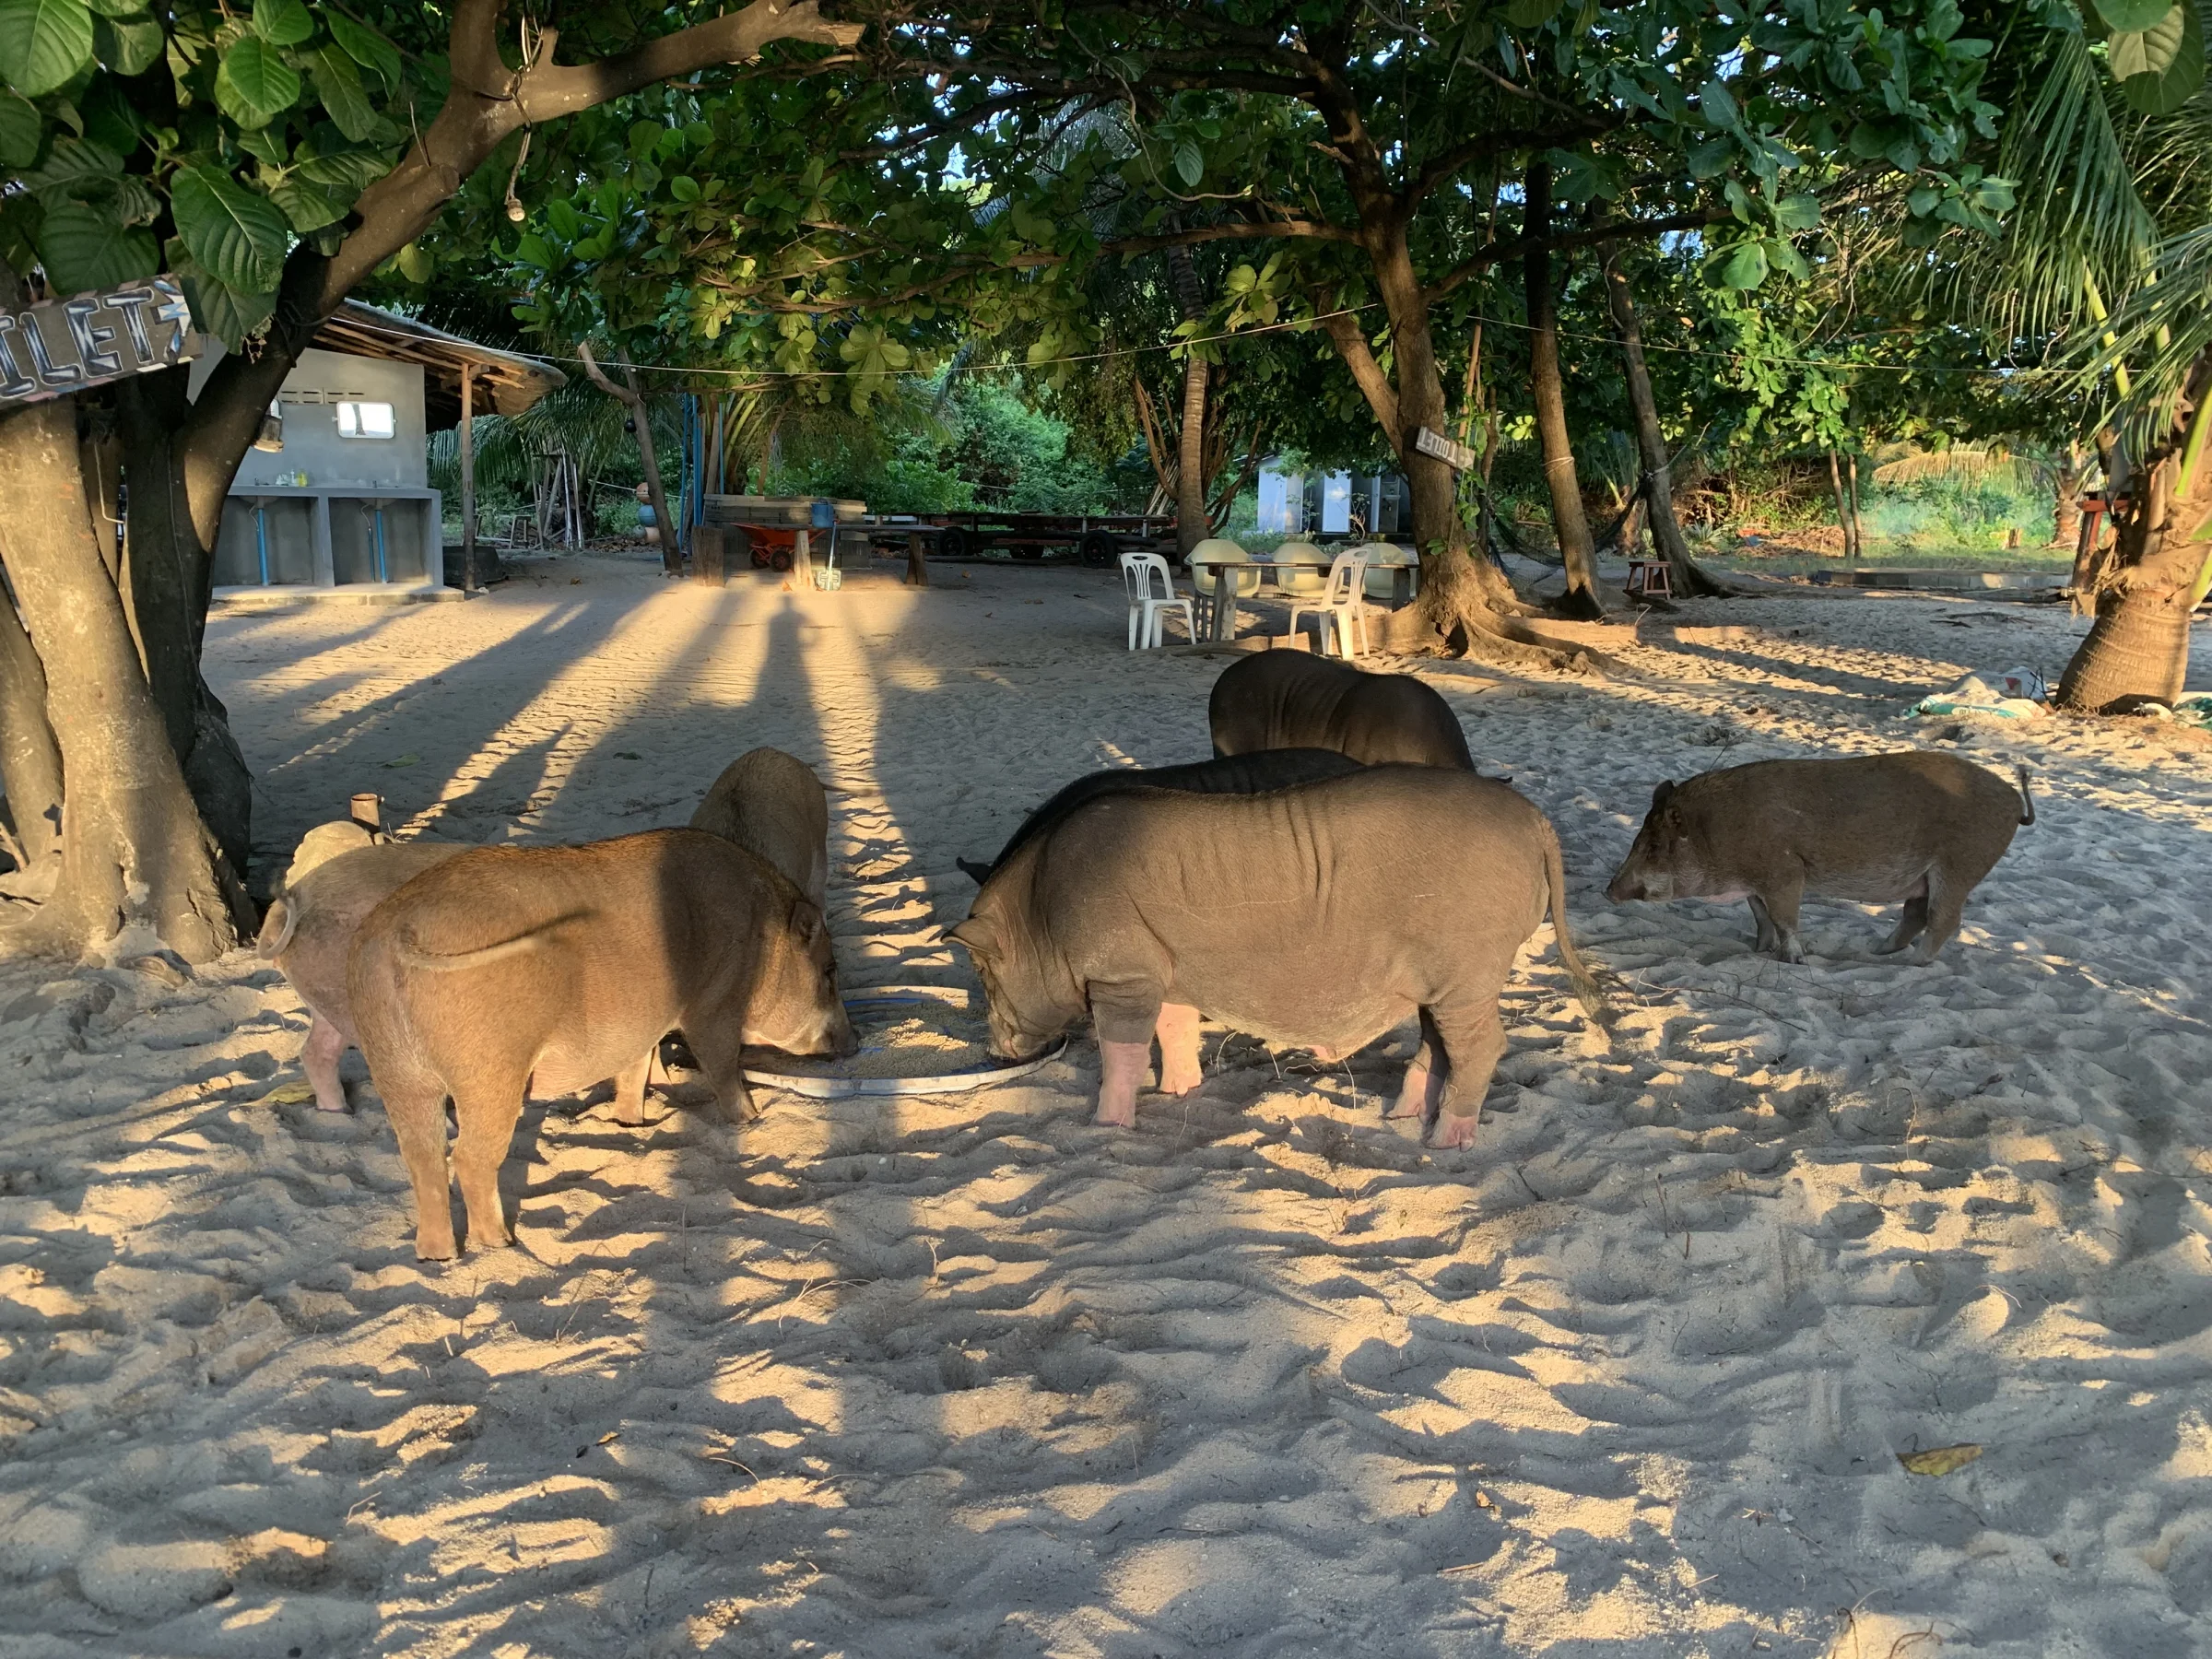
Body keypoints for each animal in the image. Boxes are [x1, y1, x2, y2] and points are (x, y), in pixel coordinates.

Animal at [348, 829, 854, 1258]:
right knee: (469, 1160)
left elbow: (634, 1070)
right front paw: (751, 1119)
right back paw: (503, 1246)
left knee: (423, 1159)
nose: (855, 1040)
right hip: (489, 1072)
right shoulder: (714, 1007)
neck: (765, 942)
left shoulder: (641, 1029)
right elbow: (722, 1067)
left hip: (396, 1070)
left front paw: (631, 1125)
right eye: (829, 971)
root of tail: (399, 933)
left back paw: (438, 1257)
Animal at [946, 766, 1608, 1148]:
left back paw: (1447, 1140)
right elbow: (1175, 1029)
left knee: (1482, 1045)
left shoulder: (1121, 973)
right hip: (1442, 982)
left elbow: (1123, 1053)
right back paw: (1401, 1117)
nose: (993, 1051)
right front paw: (1179, 1093)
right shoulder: (1166, 970)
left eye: (982, 972)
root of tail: (1534, 820)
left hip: (1468, 969)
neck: (1041, 909)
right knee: (1439, 1045)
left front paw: (1105, 1127)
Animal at [1605, 752, 2035, 964]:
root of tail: (2015, 800)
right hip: (1924, 878)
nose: (1608, 890)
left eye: (1655, 845)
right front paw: (1757, 951)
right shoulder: (1755, 883)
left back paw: (1907, 964)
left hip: (1959, 867)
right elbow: (1761, 917)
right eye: (1640, 834)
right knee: (1914, 915)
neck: (1715, 833)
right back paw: (1873, 953)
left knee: (1944, 920)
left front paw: (1794, 960)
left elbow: (1785, 919)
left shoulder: (1785, 871)